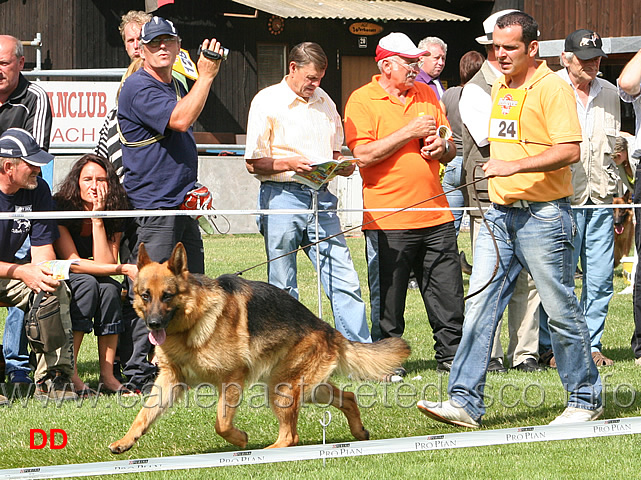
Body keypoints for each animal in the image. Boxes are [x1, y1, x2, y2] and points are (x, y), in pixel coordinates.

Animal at [109, 244, 410, 454]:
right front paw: (125, 441)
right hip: (303, 387)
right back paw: (359, 432)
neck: (193, 321)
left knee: (291, 436)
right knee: (348, 396)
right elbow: (144, 415)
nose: (153, 324)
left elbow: (222, 423)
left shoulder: (232, 379)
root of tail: (327, 329)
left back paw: (270, 451)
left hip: (282, 389)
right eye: (145, 295)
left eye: (167, 296)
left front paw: (240, 439)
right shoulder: (171, 380)